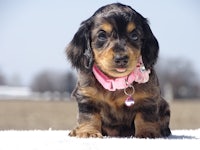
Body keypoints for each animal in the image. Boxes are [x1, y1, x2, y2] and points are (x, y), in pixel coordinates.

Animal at [66, 2, 171, 138]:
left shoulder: (148, 98)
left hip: (164, 105)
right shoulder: (86, 97)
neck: (115, 81)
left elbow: (145, 117)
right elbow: (89, 117)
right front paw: (88, 132)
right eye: (101, 35)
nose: (121, 58)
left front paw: (147, 133)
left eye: (134, 36)